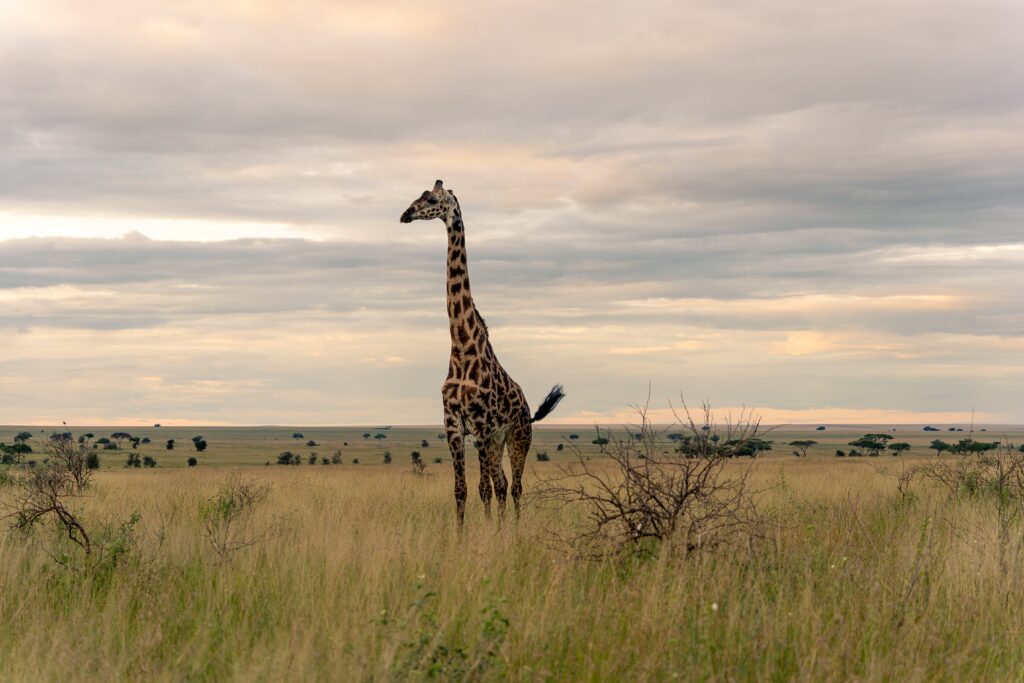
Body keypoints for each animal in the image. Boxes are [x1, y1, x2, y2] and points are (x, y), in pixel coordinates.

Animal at [401, 179, 565, 524]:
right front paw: (463, 534)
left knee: (513, 486)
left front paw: (492, 532)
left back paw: (512, 528)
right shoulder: (454, 426)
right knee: (500, 483)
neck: (462, 348)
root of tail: (528, 408)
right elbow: (462, 490)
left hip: (518, 437)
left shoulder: (483, 428)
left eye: (431, 200)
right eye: (418, 196)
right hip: (498, 441)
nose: (405, 214)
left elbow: (487, 488)